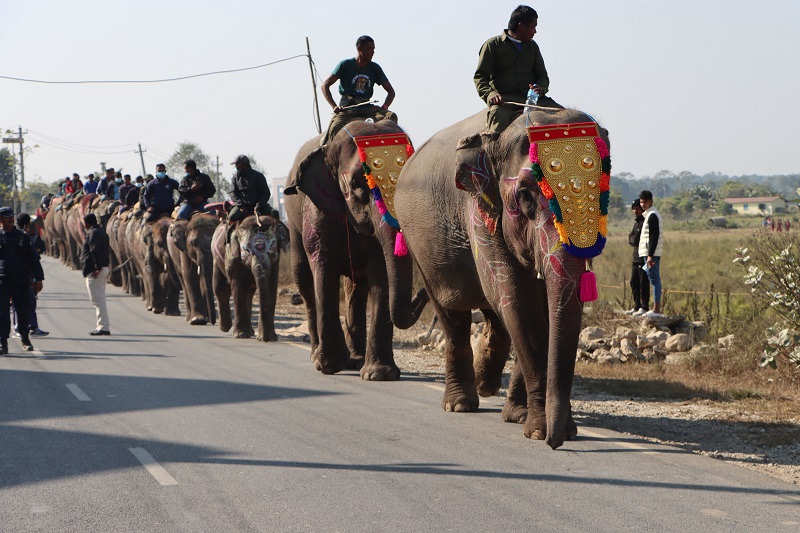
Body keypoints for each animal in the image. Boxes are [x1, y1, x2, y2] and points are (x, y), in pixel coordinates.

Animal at [282, 119, 428, 380]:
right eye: (357, 185)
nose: (423, 292)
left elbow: (381, 272)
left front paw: (379, 375)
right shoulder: (318, 208)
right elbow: (323, 266)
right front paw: (329, 366)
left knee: (356, 288)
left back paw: (356, 360)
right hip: (293, 221)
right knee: (305, 280)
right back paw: (317, 355)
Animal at [396, 108, 612, 448]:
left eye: (603, 194)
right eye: (525, 197)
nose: (556, 441)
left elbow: (538, 311)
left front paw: (539, 424)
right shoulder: (481, 209)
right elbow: (520, 303)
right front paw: (538, 431)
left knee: (494, 316)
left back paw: (490, 387)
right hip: (418, 246)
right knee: (453, 314)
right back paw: (460, 404)